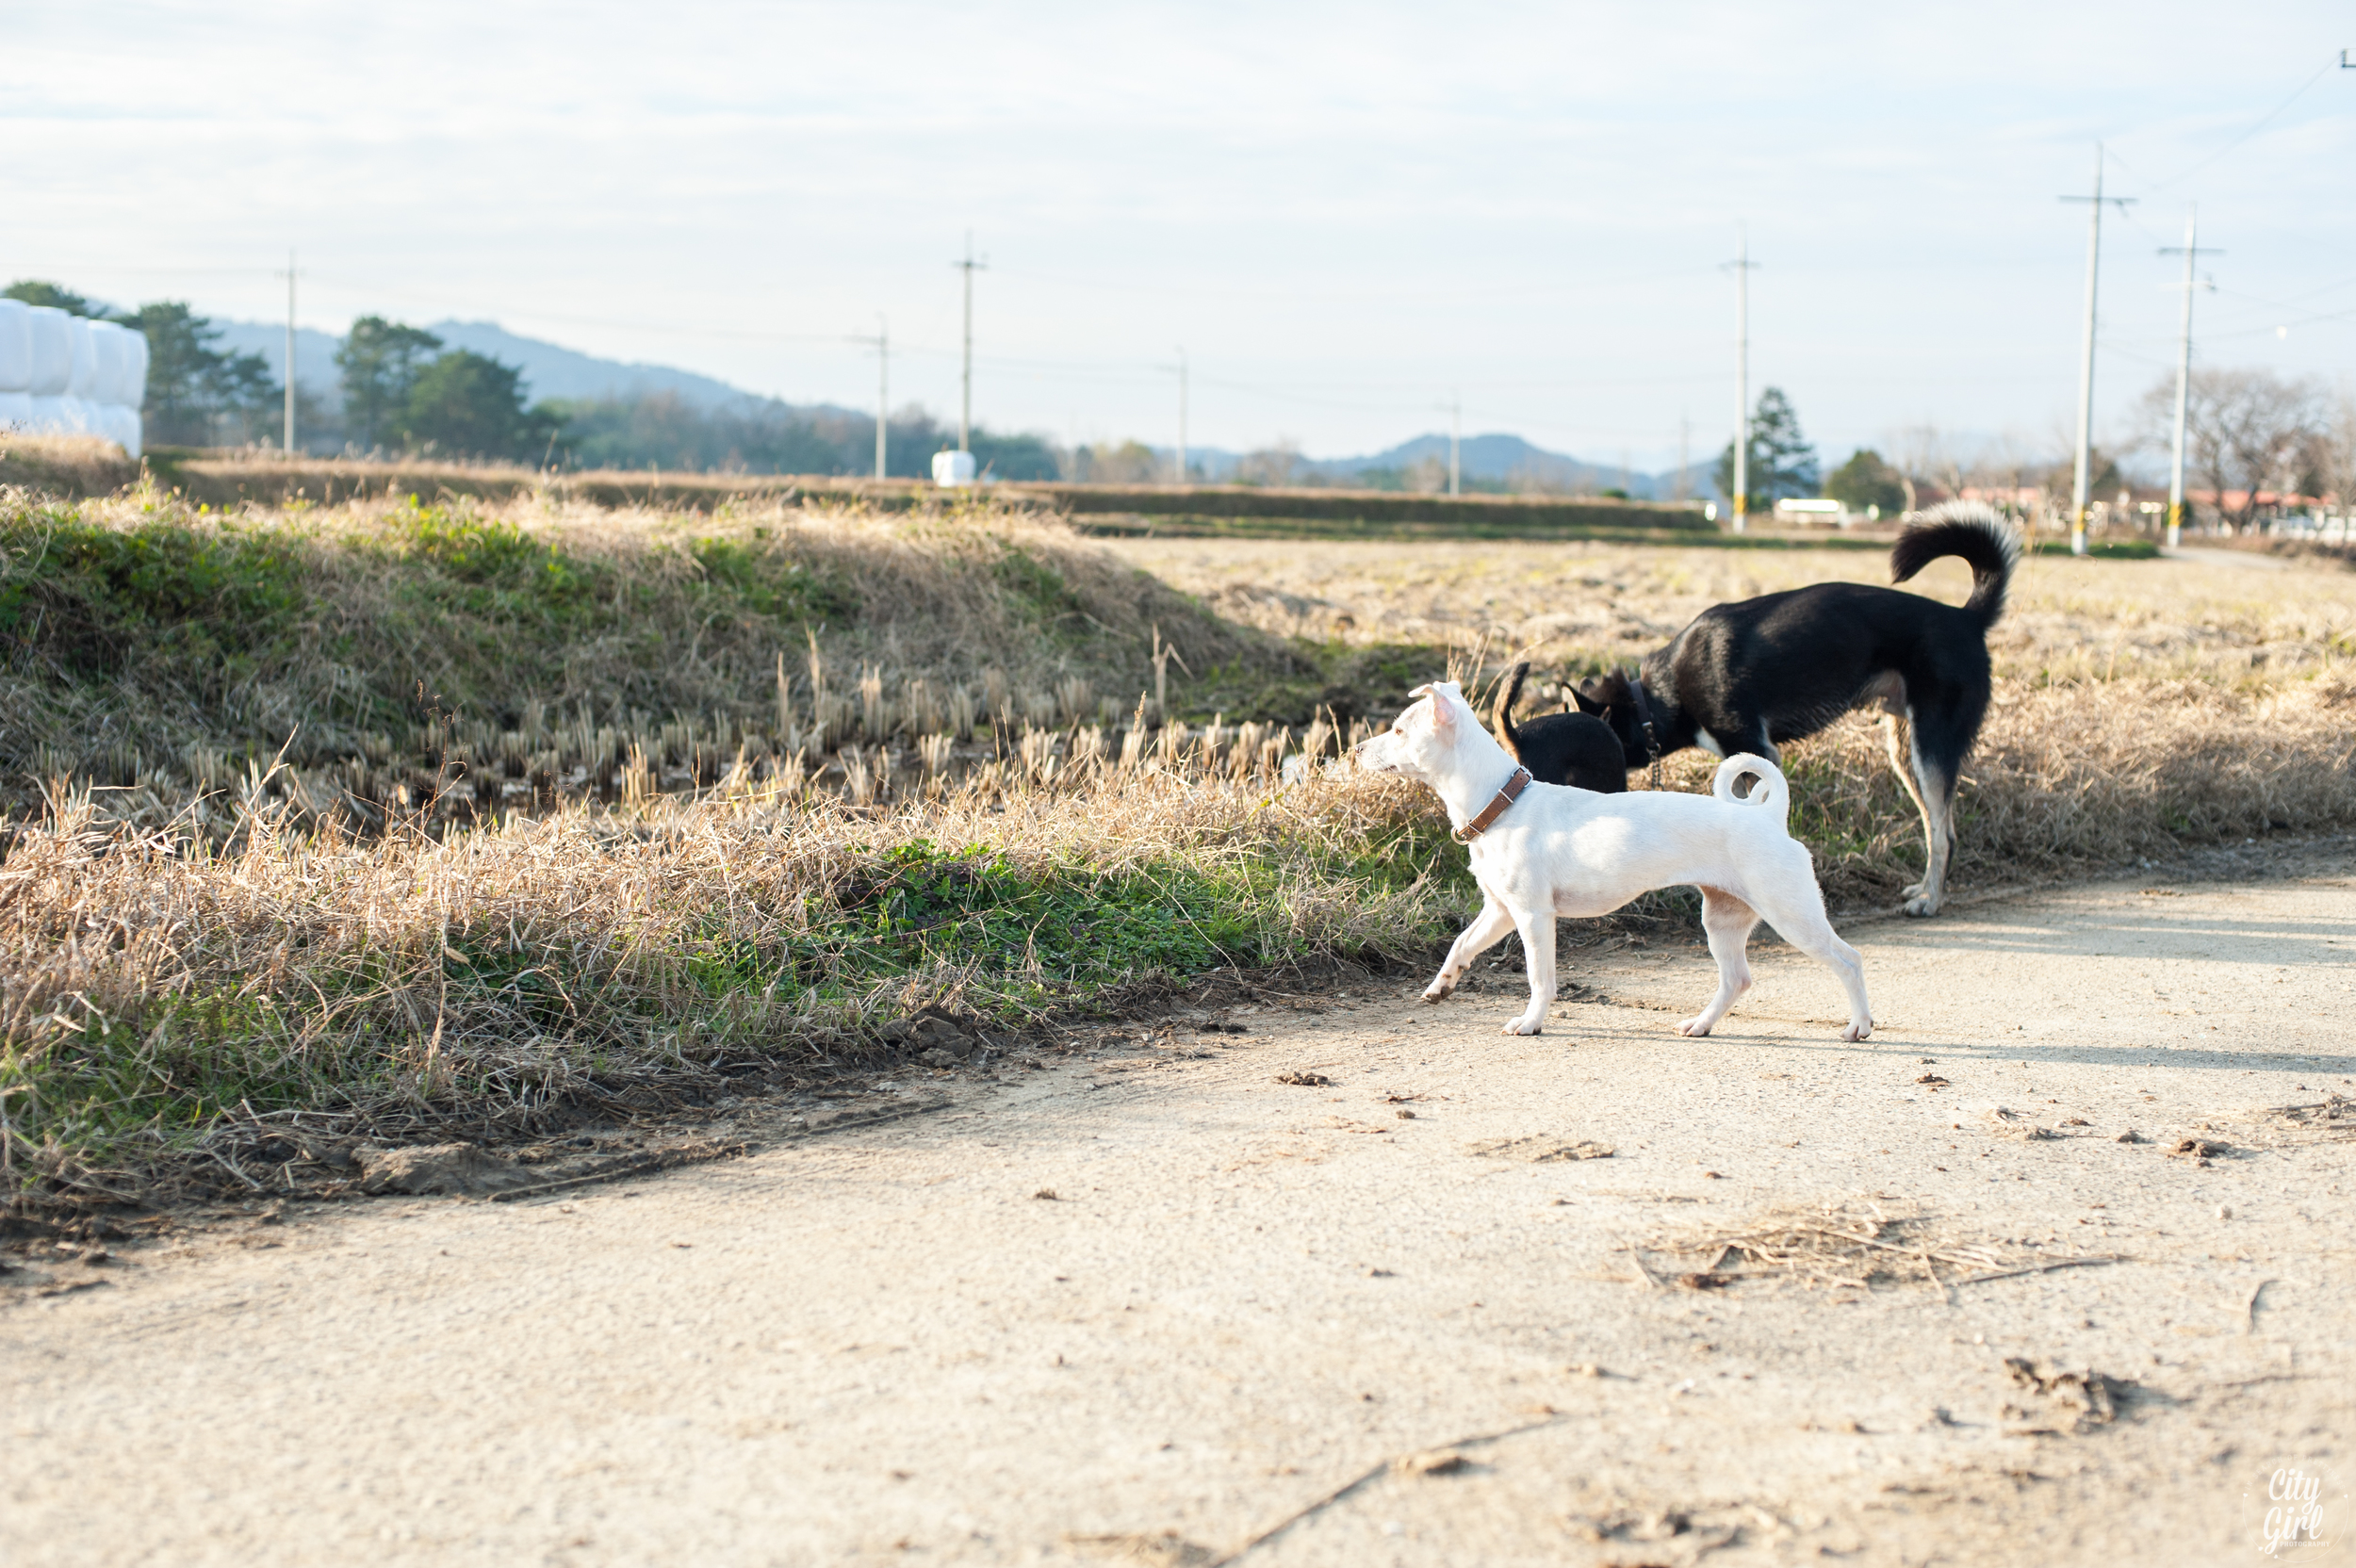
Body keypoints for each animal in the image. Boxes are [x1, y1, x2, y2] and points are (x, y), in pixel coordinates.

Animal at [1357, 673, 1866, 1031]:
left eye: (1399, 731)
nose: (1358, 748)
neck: (1502, 802)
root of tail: (1769, 817)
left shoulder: (1532, 917)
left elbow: (1539, 978)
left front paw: (1531, 1023)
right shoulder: (1499, 911)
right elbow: (1461, 944)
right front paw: (1441, 985)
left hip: (1791, 914)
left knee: (1848, 959)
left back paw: (1859, 1026)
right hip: (1723, 918)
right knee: (1736, 979)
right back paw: (1700, 1025)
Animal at [1574, 501, 2017, 918]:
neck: (1658, 696)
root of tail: (1966, 617)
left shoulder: (1758, 748)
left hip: (1931, 747)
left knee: (1945, 834)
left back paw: (1931, 900)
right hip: (1906, 752)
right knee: (1933, 824)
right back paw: (1923, 890)